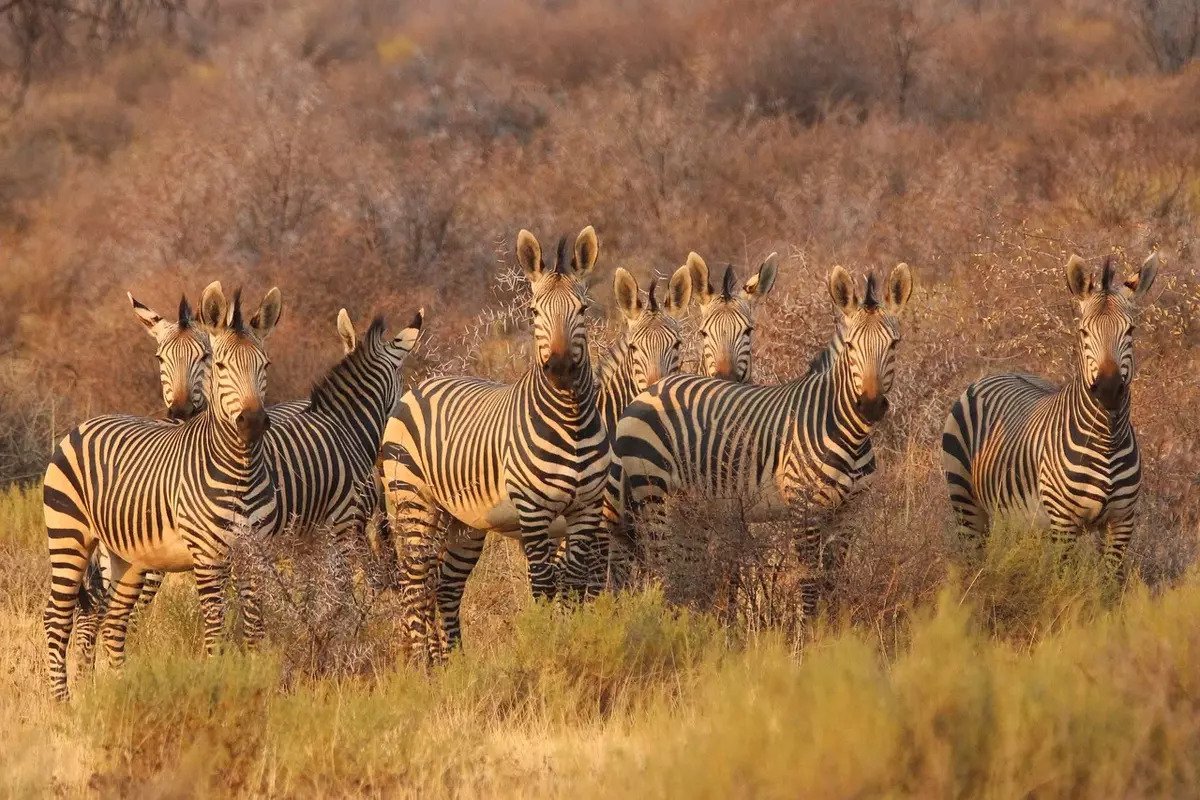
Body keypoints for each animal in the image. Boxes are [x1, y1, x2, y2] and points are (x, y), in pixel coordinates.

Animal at [42, 285, 283, 700]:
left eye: (264, 365)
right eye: (221, 366)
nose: (252, 422)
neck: (241, 469)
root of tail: (84, 423)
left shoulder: (256, 555)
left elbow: (254, 629)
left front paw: (255, 685)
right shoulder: (208, 557)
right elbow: (216, 630)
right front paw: (217, 685)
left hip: (126, 557)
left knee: (112, 621)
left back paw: (120, 690)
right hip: (69, 538)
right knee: (57, 618)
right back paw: (63, 702)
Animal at [380, 226, 608, 661]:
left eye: (584, 310)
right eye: (534, 313)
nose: (559, 369)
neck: (570, 420)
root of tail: (422, 386)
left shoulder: (587, 510)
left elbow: (572, 586)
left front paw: (572, 641)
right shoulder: (534, 512)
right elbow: (544, 586)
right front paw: (549, 648)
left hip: (463, 521)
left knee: (444, 588)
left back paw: (452, 664)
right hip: (412, 503)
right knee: (415, 588)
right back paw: (422, 667)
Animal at [941, 253, 1158, 582]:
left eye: (1130, 331)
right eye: (1083, 332)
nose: (1108, 391)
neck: (1107, 438)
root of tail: (999, 372)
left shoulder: (1121, 521)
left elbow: (1107, 587)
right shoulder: (1064, 523)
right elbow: (1063, 584)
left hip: (1019, 516)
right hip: (965, 502)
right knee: (973, 559)